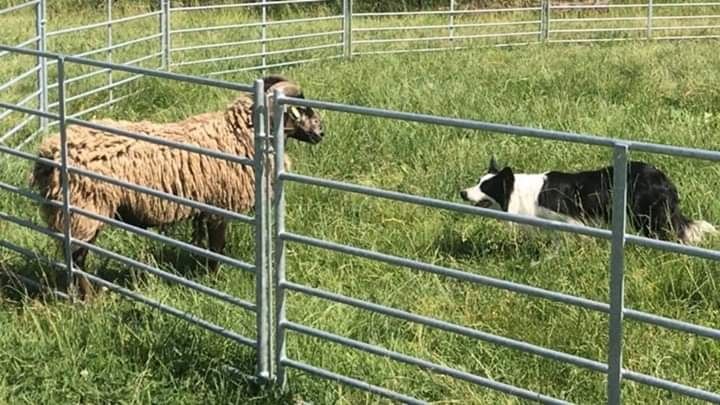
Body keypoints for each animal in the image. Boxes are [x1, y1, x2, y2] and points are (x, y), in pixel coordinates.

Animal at [30, 75, 324, 298]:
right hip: (84, 211)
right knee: (77, 257)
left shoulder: (203, 208)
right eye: (300, 109)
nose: (321, 133)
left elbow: (201, 244)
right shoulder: (219, 207)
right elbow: (217, 248)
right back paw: (90, 298)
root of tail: (47, 156)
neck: (239, 133)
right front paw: (214, 279)